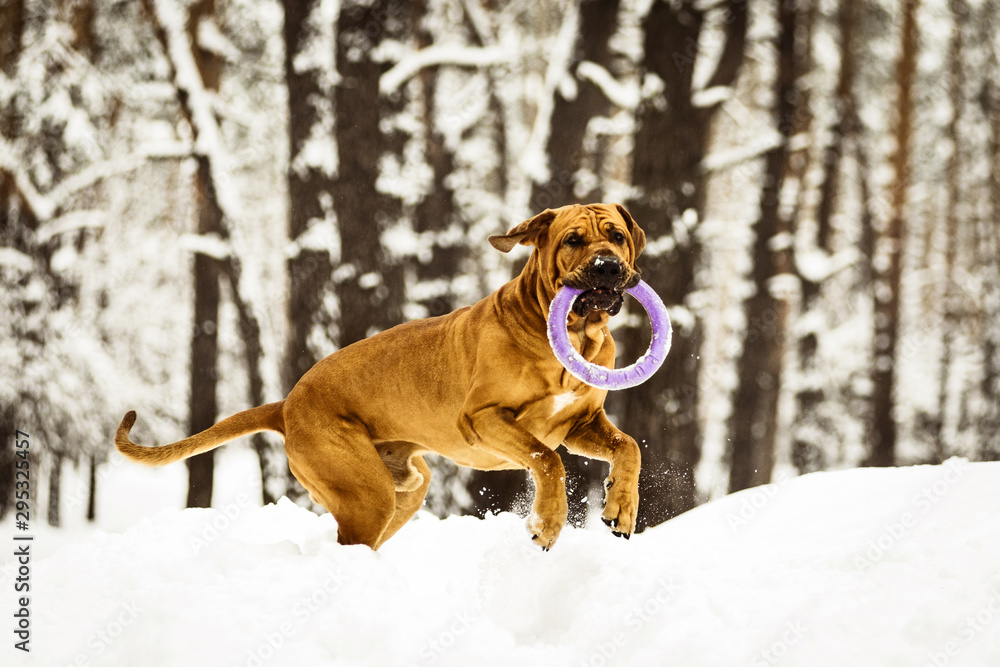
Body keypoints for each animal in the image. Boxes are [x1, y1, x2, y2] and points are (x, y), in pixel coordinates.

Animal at [115, 204, 648, 552]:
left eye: (617, 236)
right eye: (573, 240)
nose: (608, 266)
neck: (574, 335)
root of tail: (286, 405)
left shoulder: (580, 423)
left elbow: (628, 448)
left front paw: (620, 508)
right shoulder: (485, 419)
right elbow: (548, 461)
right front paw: (547, 524)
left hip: (405, 491)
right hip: (364, 492)